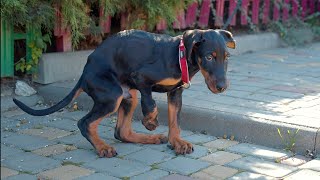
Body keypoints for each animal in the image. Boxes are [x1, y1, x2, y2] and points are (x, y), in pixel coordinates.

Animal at [13, 29, 235, 158]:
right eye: (209, 57)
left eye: (226, 57)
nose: (222, 87)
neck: (178, 54)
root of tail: (85, 73)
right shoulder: (140, 77)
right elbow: (151, 102)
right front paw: (150, 121)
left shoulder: (175, 93)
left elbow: (175, 122)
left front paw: (177, 143)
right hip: (112, 95)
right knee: (85, 123)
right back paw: (102, 148)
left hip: (128, 96)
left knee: (121, 132)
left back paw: (151, 139)